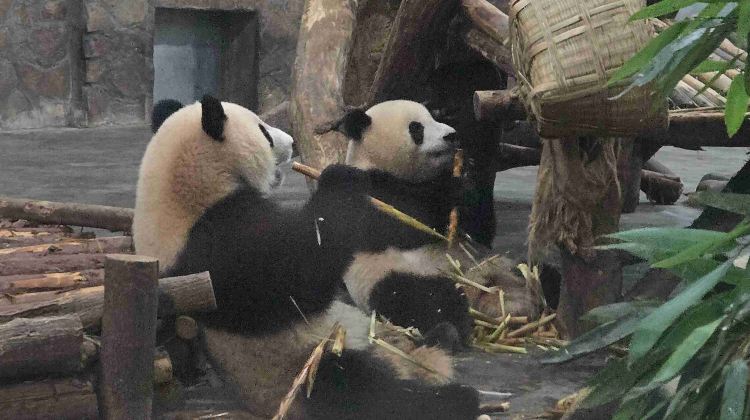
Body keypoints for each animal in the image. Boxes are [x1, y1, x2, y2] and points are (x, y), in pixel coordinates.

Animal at [133, 95, 481, 420]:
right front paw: (341, 180)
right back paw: (455, 397)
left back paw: (444, 338)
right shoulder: (218, 245)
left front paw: (465, 184)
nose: (291, 142)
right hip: (309, 362)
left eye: (433, 116)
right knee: (363, 389)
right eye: (417, 129)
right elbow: (302, 275)